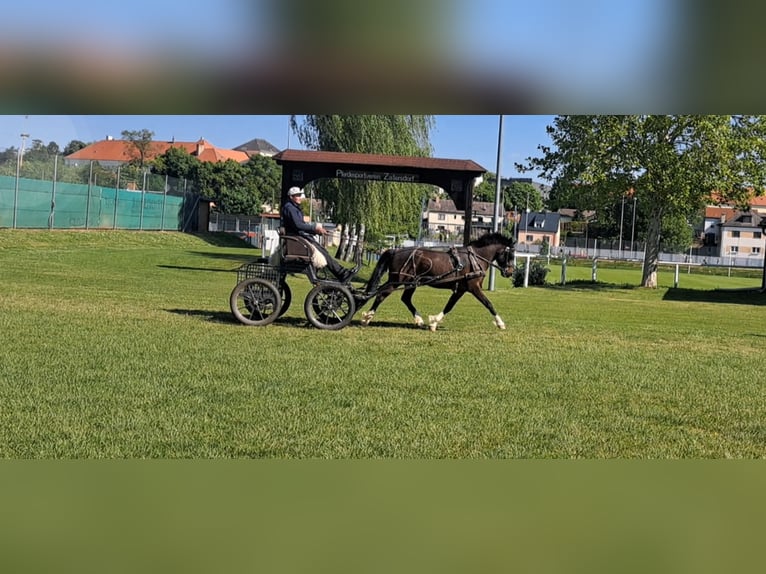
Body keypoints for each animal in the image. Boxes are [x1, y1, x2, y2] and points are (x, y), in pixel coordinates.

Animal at [360, 232, 516, 331]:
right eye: (510, 255)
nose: (510, 272)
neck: (475, 258)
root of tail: (395, 251)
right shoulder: (473, 287)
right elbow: (488, 304)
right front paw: (500, 323)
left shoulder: (461, 289)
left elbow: (449, 306)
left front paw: (434, 322)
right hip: (396, 281)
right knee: (381, 294)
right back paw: (367, 317)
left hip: (411, 283)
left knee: (405, 298)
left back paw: (419, 320)